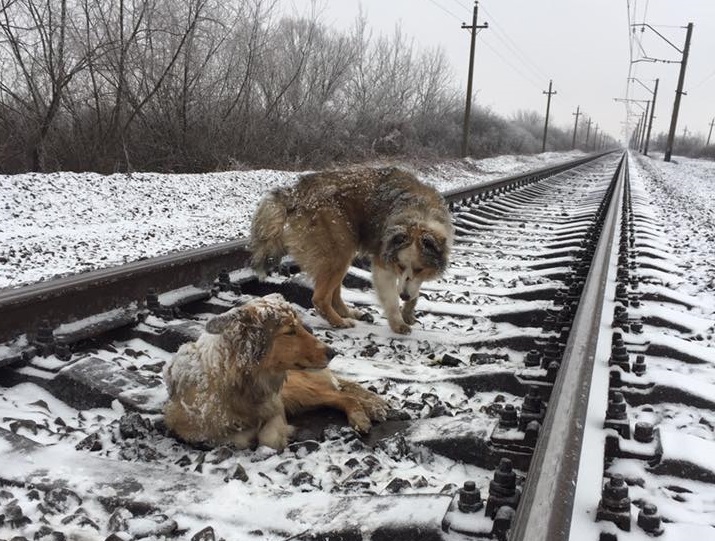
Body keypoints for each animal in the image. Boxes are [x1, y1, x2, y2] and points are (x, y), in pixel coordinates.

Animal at [164, 294, 386, 450]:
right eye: (290, 332)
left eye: (300, 327)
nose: (333, 352)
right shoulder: (188, 429)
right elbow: (235, 438)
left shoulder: (276, 405)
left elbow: (268, 438)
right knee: (340, 394)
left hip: (298, 390)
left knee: (344, 395)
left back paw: (362, 415)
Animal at [250, 166, 454, 334]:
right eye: (399, 266)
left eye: (420, 269)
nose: (403, 295)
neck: (419, 216)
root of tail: (295, 192)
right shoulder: (383, 262)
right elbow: (391, 298)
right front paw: (398, 322)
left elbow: (414, 289)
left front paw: (408, 311)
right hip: (339, 249)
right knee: (320, 298)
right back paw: (339, 322)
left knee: (334, 294)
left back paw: (350, 313)